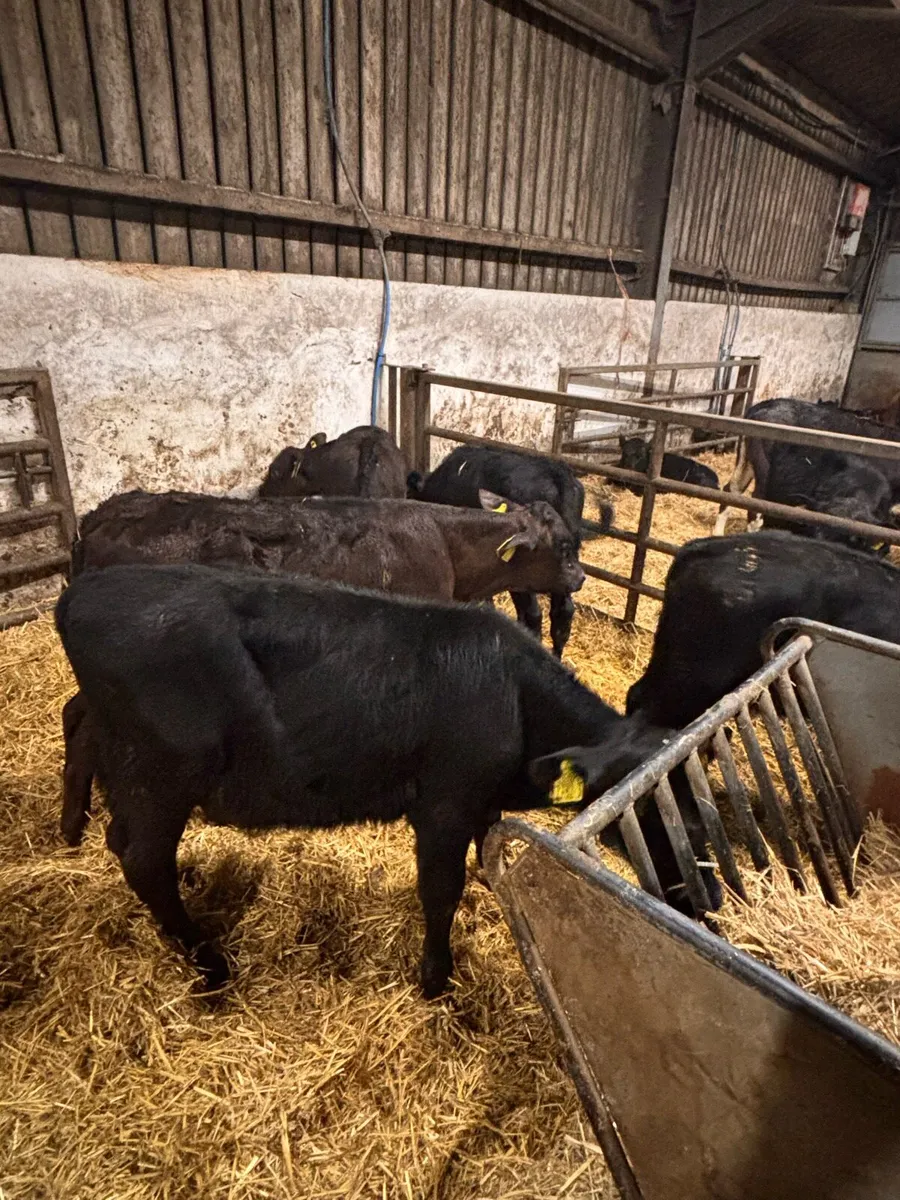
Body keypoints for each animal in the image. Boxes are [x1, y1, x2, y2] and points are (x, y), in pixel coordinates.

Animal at [56, 563, 674, 997]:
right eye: (645, 804)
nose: (690, 890)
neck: (514, 694)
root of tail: (80, 592)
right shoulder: (444, 803)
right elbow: (440, 890)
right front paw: (436, 980)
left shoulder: (481, 798)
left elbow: (485, 844)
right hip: (162, 773)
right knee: (143, 859)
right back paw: (211, 965)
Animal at [714, 398, 900, 537]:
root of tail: (763, 406)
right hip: (765, 470)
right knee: (756, 505)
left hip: (746, 459)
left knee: (732, 489)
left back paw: (717, 533)